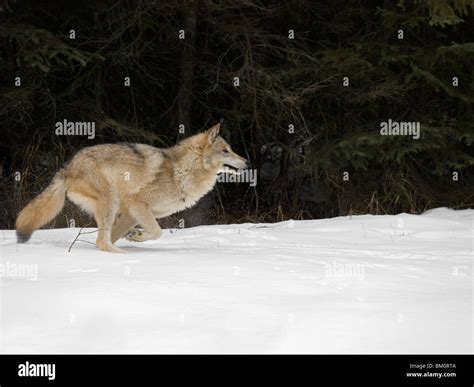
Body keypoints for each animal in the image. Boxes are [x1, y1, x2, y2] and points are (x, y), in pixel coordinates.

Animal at [14, 123, 248, 253]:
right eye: (226, 151)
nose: (246, 162)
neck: (180, 170)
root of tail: (67, 167)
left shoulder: (132, 214)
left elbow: (136, 232)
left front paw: (133, 235)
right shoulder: (137, 204)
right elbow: (157, 232)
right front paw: (137, 238)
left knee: (103, 240)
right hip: (110, 200)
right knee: (102, 242)